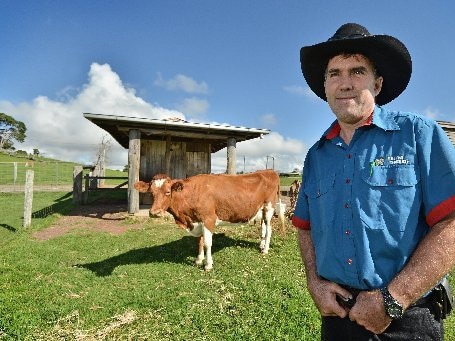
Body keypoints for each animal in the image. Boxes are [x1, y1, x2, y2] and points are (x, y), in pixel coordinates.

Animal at [134, 169, 284, 270]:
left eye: (167, 192)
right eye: (151, 193)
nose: (154, 213)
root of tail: (270, 171)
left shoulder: (208, 219)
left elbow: (207, 243)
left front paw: (208, 264)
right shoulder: (198, 220)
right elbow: (199, 242)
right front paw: (198, 260)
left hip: (269, 207)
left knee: (269, 229)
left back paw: (265, 249)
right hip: (261, 210)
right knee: (263, 228)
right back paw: (261, 245)